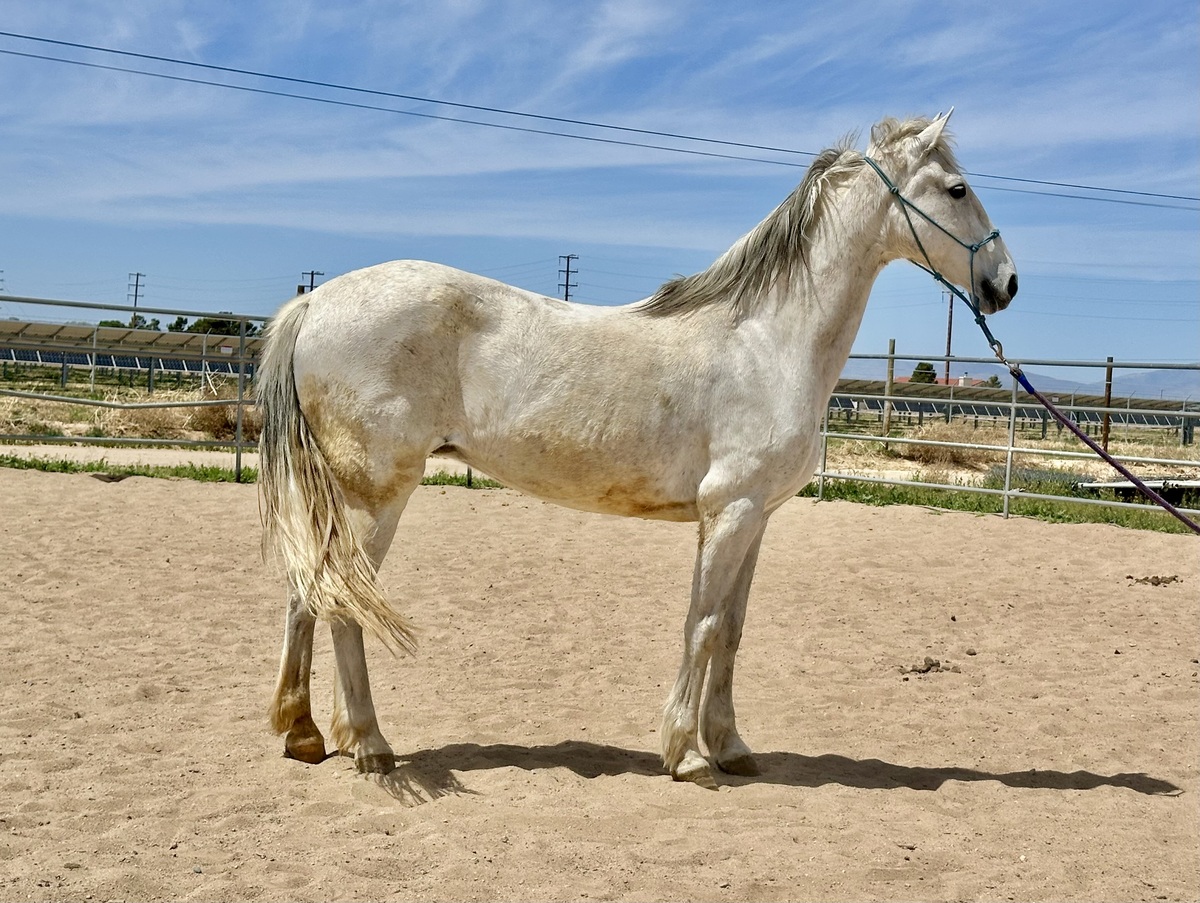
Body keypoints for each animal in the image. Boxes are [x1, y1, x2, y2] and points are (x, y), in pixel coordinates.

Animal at [257, 112, 1018, 788]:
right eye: (957, 189)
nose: (1005, 283)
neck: (767, 340)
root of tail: (315, 303)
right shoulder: (729, 512)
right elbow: (702, 626)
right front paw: (686, 754)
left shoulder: (756, 517)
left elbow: (733, 629)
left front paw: (730, 745)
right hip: (376, 496)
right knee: (343, 603)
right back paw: (370, 743)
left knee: (308, 592)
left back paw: (306, 733)